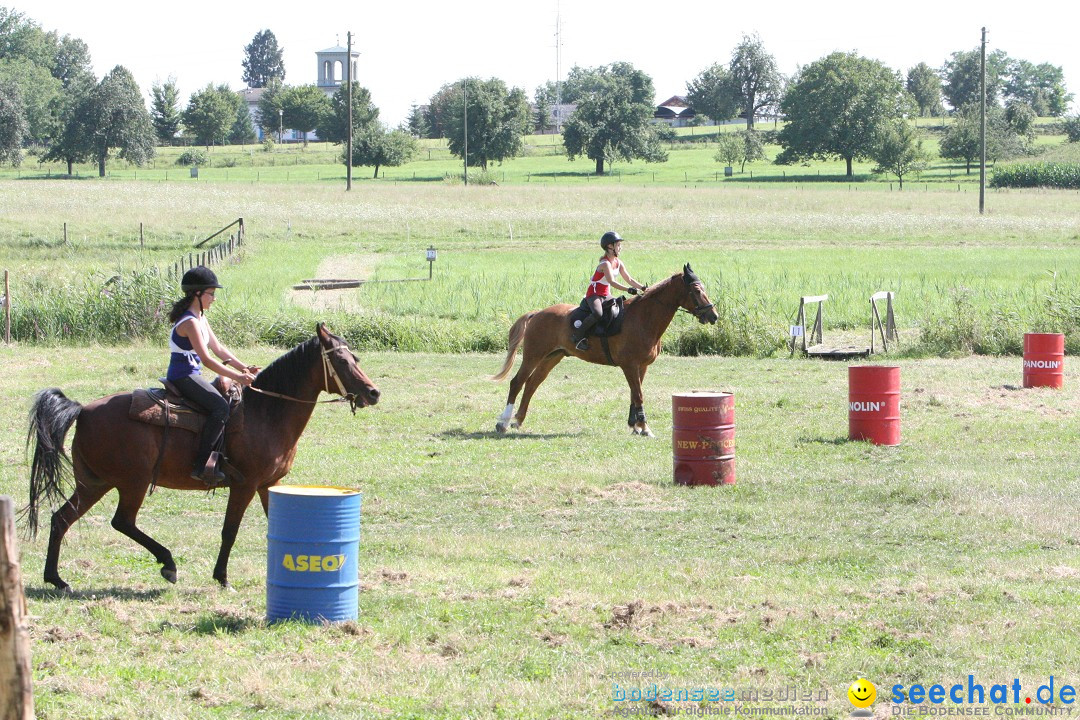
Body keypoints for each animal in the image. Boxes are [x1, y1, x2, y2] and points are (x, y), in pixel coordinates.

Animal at [25, 323, 380, 595]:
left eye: (355, 357)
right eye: (342, 361)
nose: (373, 392)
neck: (265, 412)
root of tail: (83, 410)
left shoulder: (269, 484)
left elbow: (276, 525)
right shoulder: (245, 485)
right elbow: (229, 531)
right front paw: (222, 578)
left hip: (94, 483)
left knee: (61, 519)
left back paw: (56, 579)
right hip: (133, 482)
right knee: (121, 521)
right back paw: (168, 564)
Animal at [492, 263, 717, 436]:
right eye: (697, 291)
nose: (713, 316)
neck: (644, 319)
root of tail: (537, 313)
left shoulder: (641, 366)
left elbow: (634, 394)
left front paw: (635, 426)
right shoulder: (630, 365)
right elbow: (638, 395)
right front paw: (645, 428)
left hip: (552, 357)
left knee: (532, 384)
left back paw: (518, 420)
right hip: (533, 355)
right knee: (517, 382)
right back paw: (503, 422)